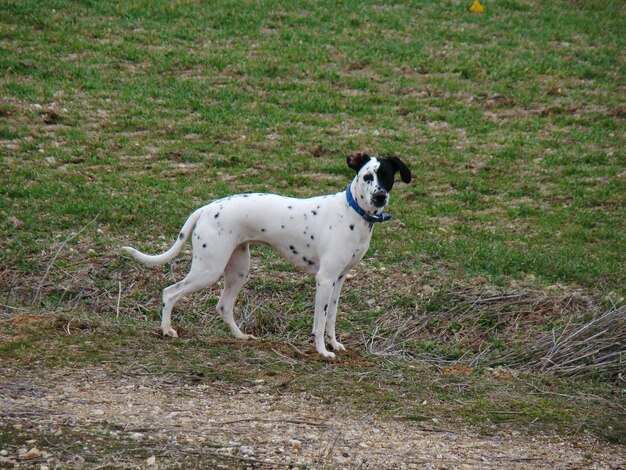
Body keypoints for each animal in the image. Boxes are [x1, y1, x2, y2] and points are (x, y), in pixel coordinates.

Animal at [122, 152, 410, 358]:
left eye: (387, 176)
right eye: (367, 177)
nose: (380, 197)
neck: (352, 212)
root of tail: (206, 208)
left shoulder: (339, 280)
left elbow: (331, 319)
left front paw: (334, 344)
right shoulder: (325, 279)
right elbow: (319, 323)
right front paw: (322, 351)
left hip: (238, 271)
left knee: (223, 306)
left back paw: (240, 337)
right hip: (208, 270)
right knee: (170, 292)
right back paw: (166, 330)